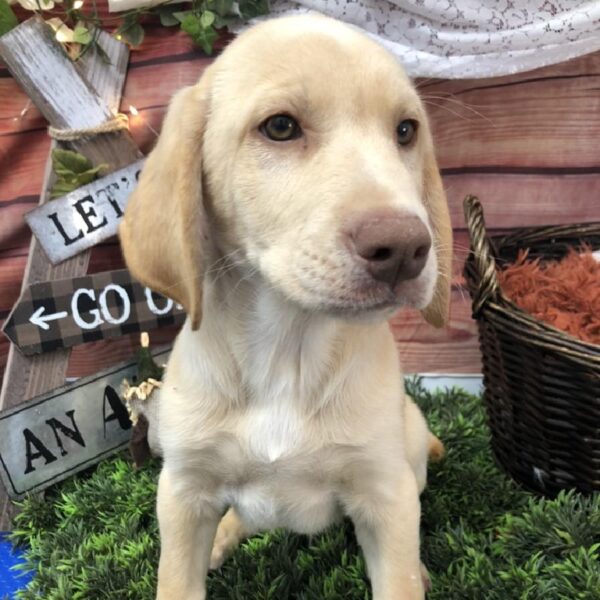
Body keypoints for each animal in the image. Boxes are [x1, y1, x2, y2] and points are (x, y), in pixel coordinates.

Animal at [120, 14, 450, 600]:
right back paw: (225, 536)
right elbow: (175, 580)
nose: (405, 249)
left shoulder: (384, 494)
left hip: (409, 440)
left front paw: (413, 571)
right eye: (279, 127)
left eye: (406, 131)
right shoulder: (181, 491)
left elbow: (399, 575)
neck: (287, 351)